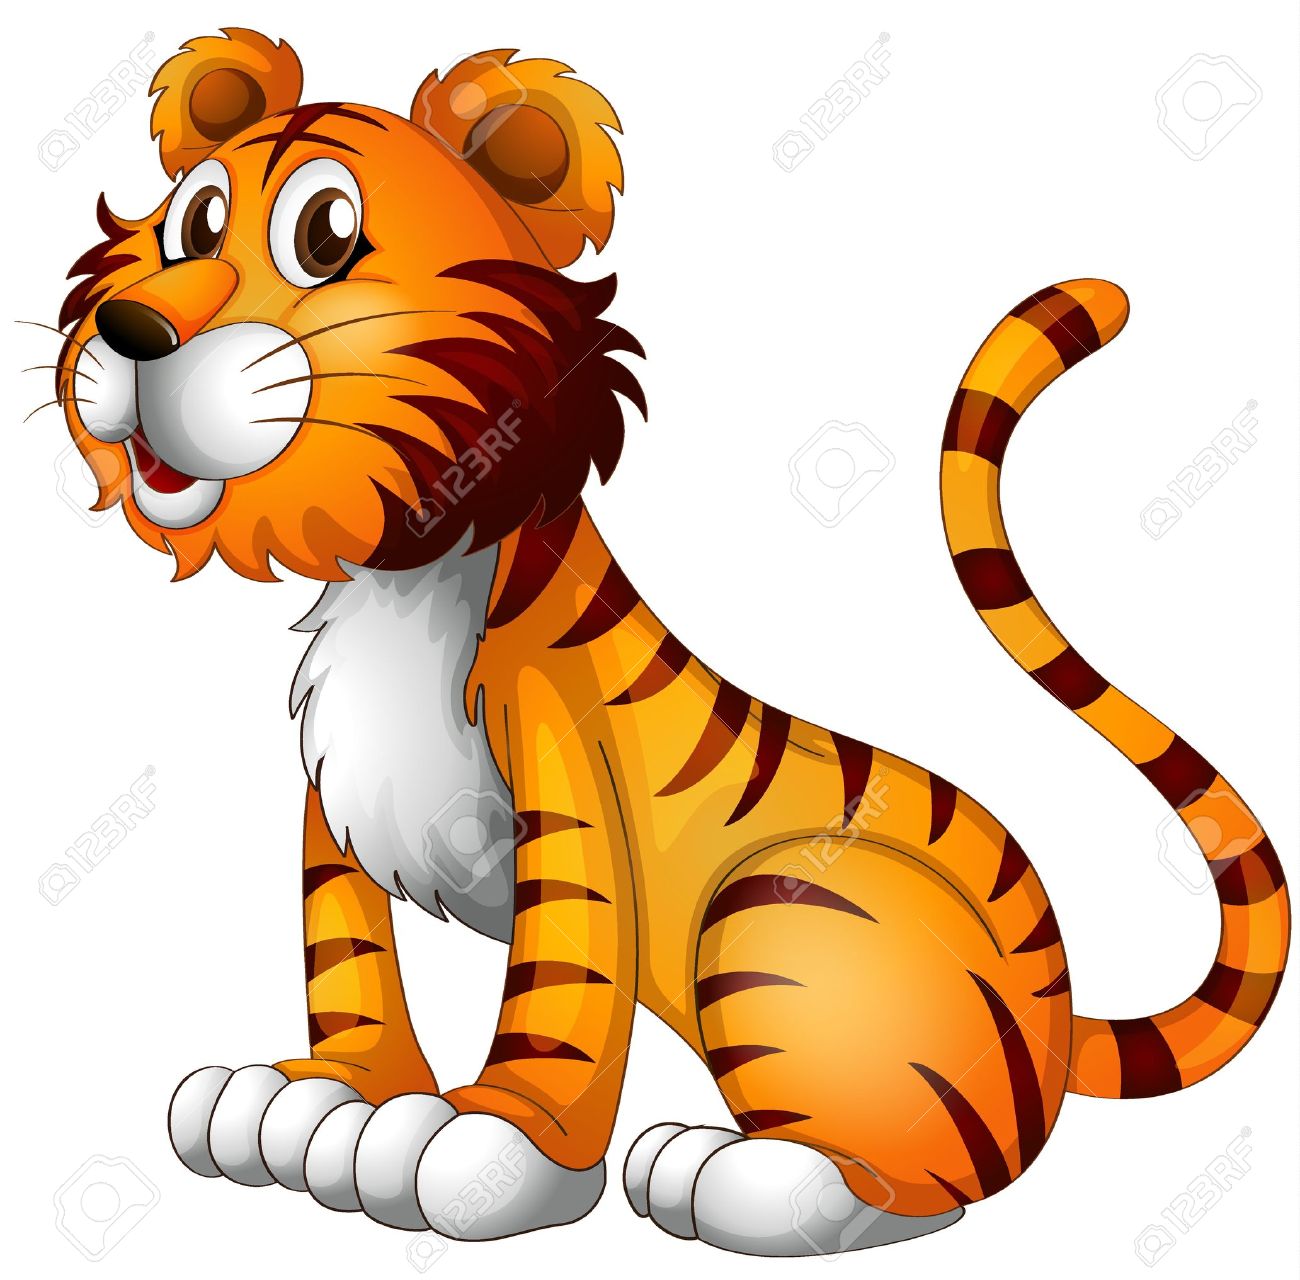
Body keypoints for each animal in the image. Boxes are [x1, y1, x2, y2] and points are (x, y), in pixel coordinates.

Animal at [46, 27, 1288, 1257]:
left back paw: (735, 1174)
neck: (408, 564)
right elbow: (341, 949)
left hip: (779, 910)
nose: (131, 331)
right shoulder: (336, 786)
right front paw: (321, 1095)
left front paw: (489, 1147)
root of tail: (1063, 1010)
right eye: (194, 220)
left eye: (324, 234)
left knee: (932, 1184)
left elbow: (561, 976)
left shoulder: (562, 766)